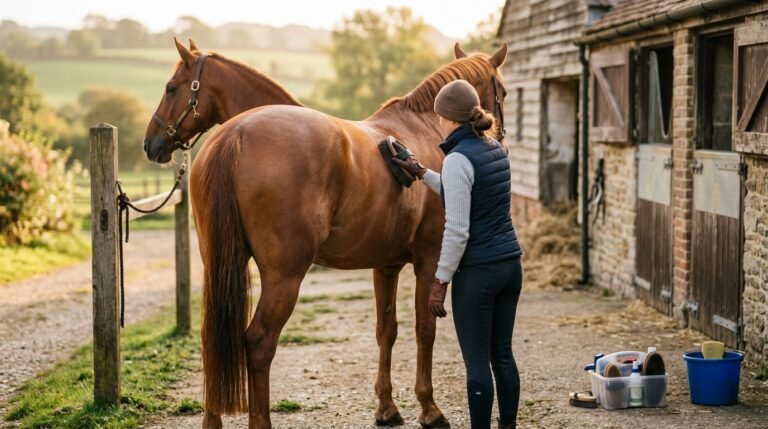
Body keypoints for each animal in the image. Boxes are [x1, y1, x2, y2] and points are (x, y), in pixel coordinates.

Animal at [144, 40, 508, 429]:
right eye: (501, 91)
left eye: (171, 88)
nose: (150, 144)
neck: (424, 129)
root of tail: (235, 134)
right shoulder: (429, 260)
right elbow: (425, 329)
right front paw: (430, 409)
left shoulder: (386, 265)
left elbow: (387, 330)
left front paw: (387, 408)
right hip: (284, 276)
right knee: (258, 342)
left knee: (214, 339)